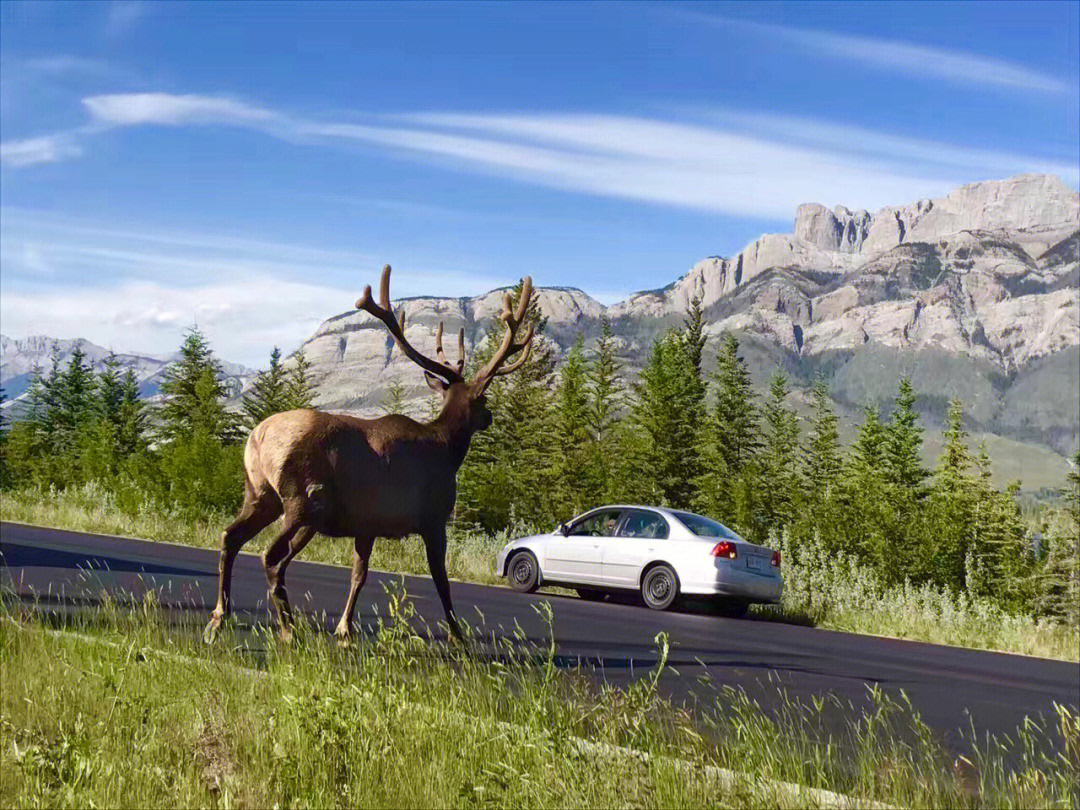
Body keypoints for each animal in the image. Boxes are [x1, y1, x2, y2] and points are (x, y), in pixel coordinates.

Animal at [200, 266, 533, 648]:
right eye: (483, 400)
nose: (489, 417)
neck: (448, 449)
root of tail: (259, 437)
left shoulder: (367, 524)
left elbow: (358, 575)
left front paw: (344, 630)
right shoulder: (434, 518)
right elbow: (441, 581)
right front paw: (458, 635)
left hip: (260, 493)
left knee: (230, 537)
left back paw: (219, 619)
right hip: (300, 501)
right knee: (269, 556)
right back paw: (288, 629)